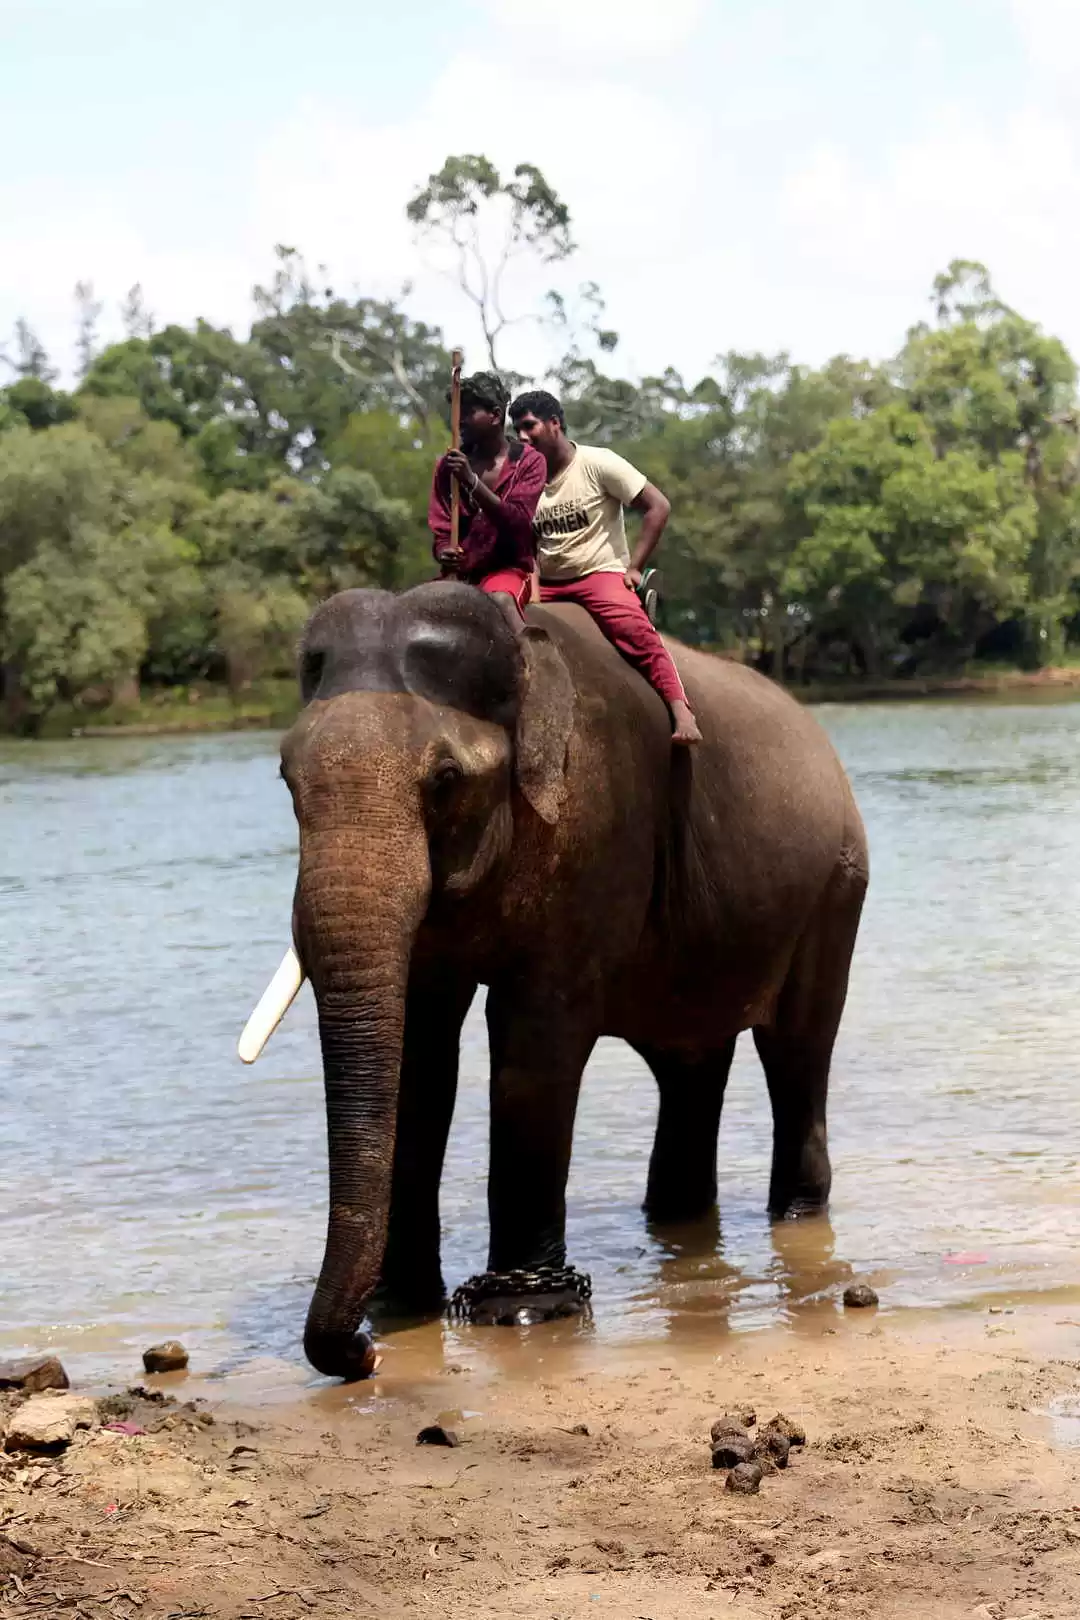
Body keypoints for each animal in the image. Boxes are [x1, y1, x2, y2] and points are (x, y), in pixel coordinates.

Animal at [258, 580, 868, 1380]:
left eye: (445, 781)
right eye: (286, 778)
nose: (362, 1355)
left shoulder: (597, 820)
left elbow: (532, 1042)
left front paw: (520, 1311)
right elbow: (420, 1053)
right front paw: (402, 1306)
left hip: (834, 885)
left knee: (797, 1049)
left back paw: (793, 1215)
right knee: (690, 1061)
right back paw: (675, 1218)